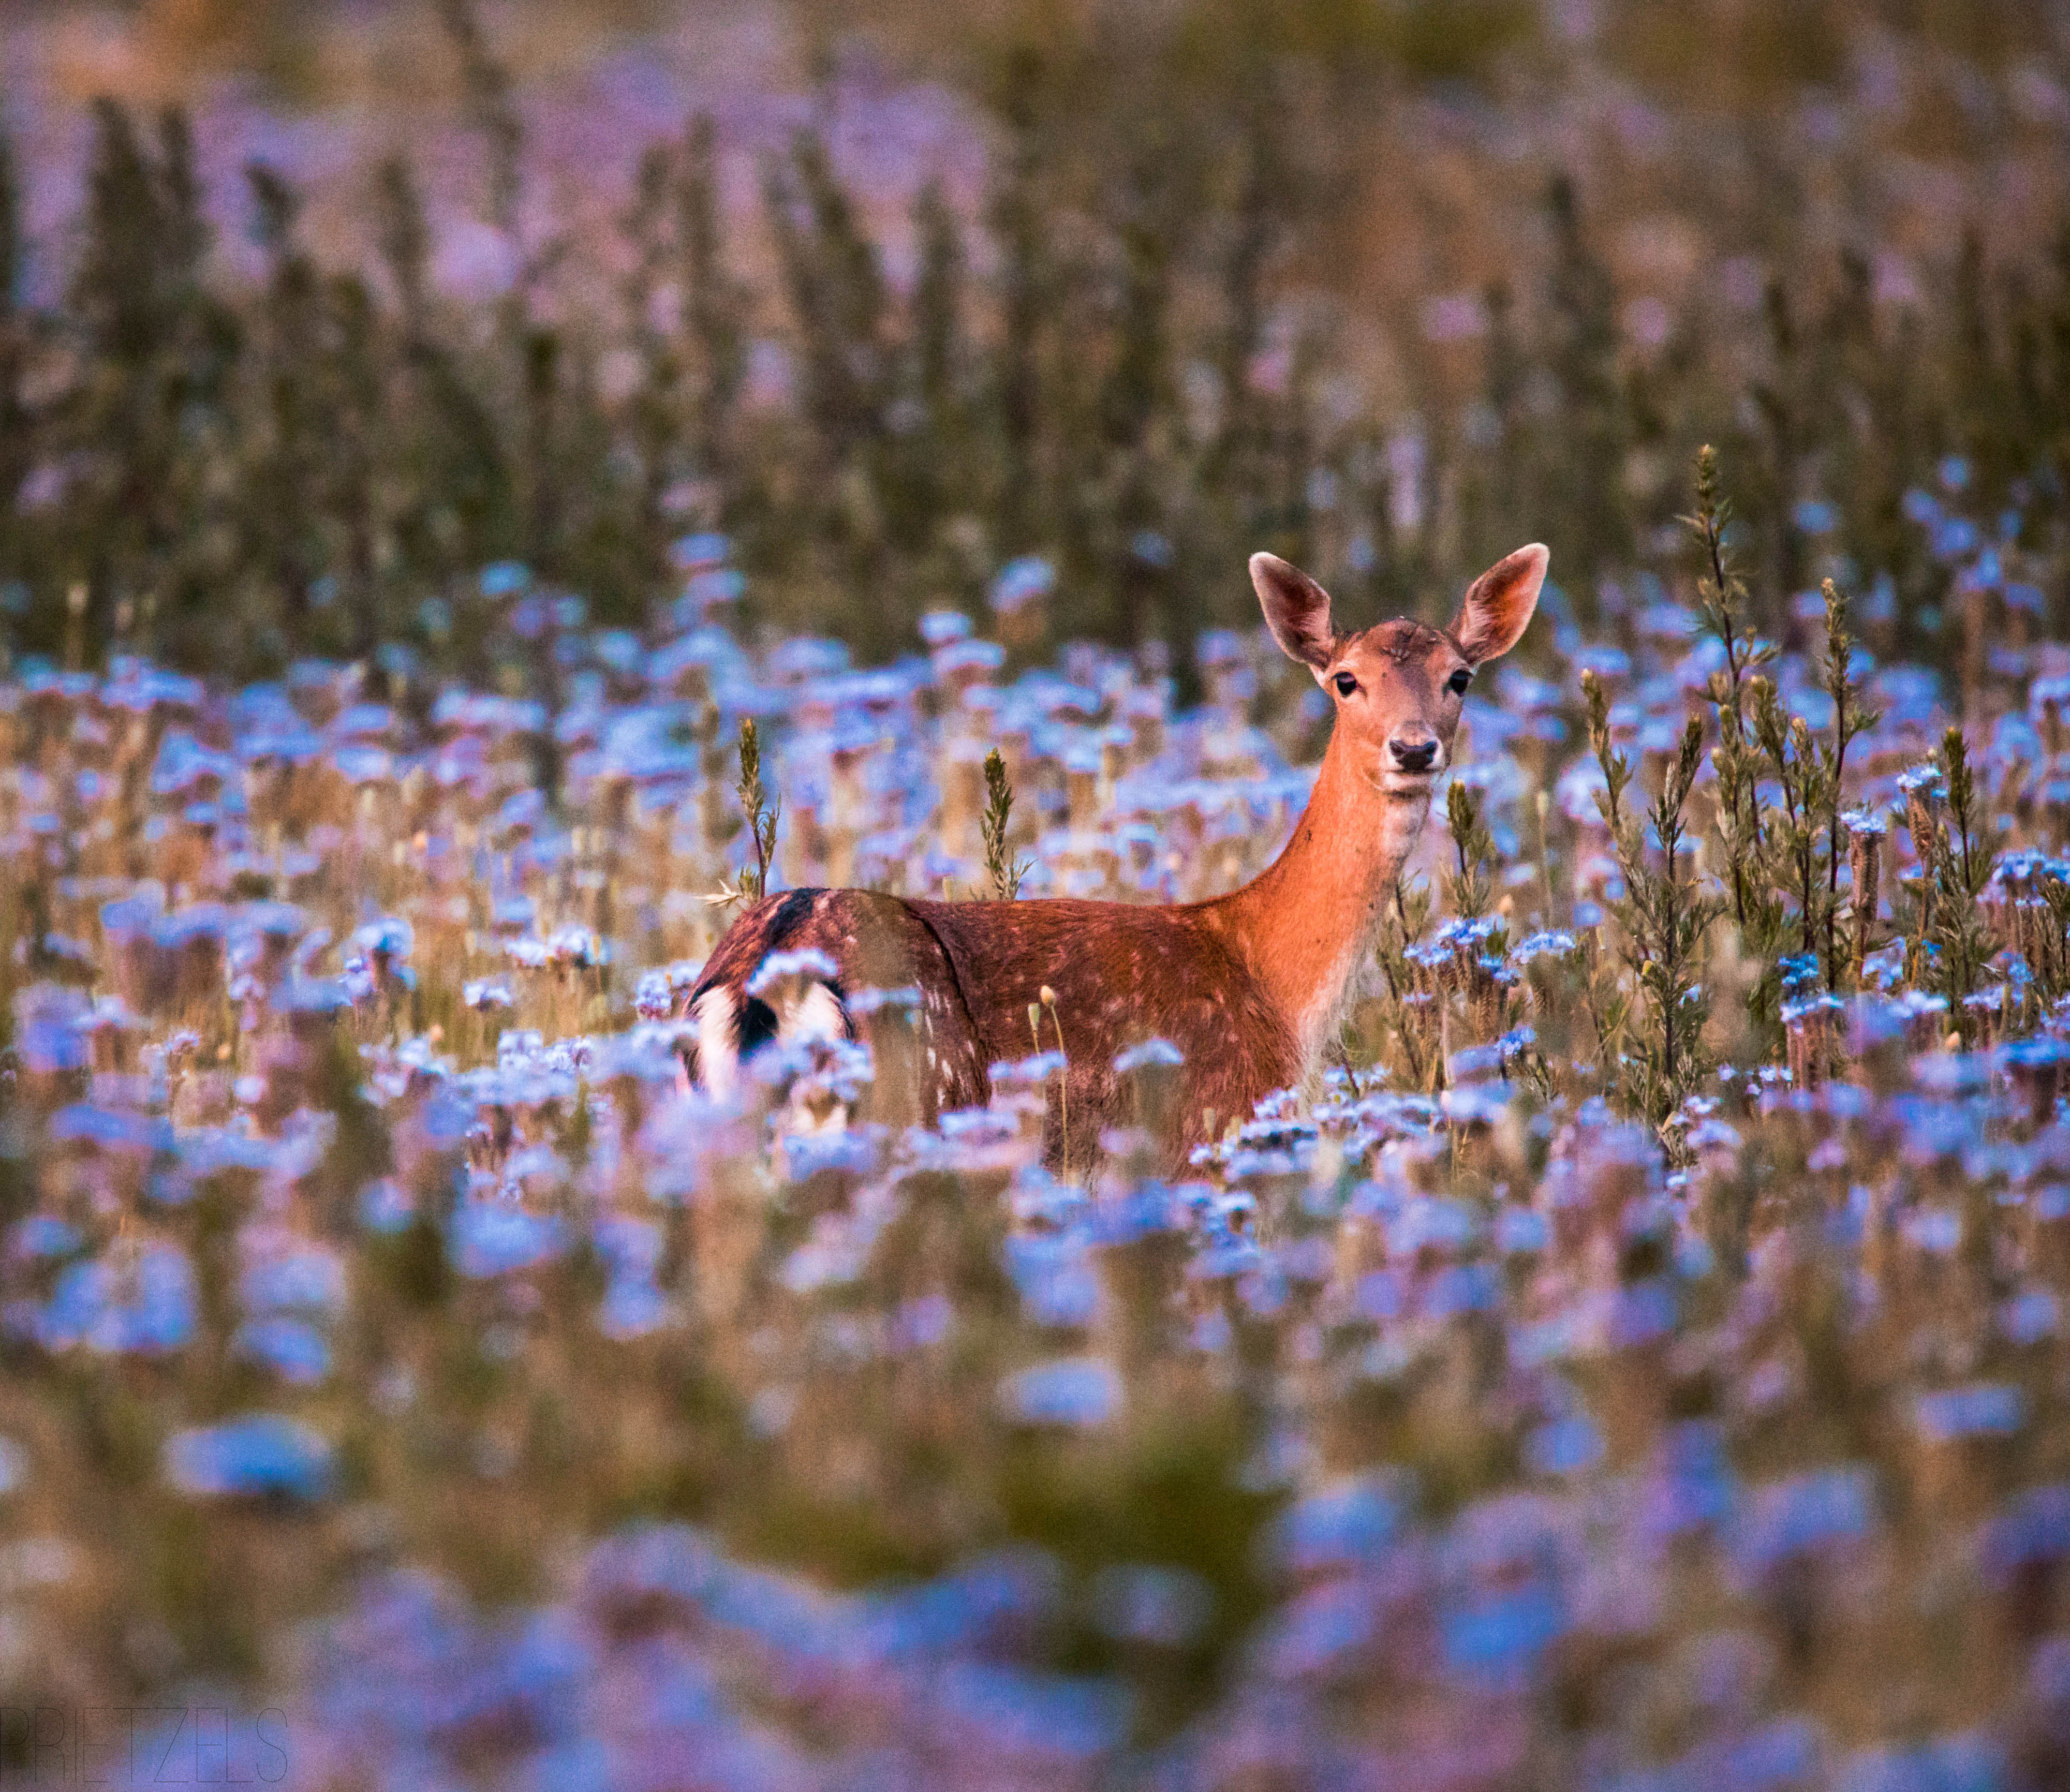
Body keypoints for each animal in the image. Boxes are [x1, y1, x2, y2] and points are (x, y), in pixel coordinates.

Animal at [687, 538, 1548, 1167]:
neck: (1268, 977)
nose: (1414, 747)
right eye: (1345, 679)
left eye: (1460, 677)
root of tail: (759, 983)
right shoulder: (1205, 1130)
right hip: (911, 1109)